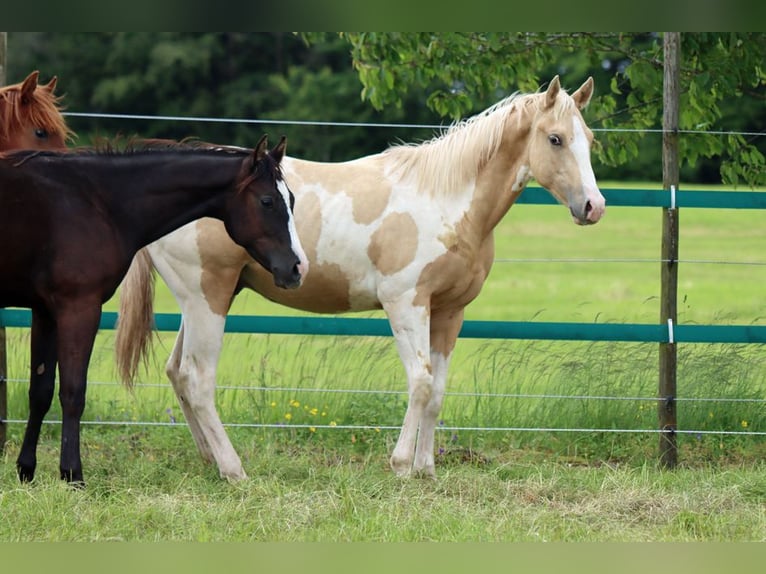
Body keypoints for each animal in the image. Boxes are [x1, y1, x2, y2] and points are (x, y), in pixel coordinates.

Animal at [3, 137, 308, 484]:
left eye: (291, 200)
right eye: (267, 201)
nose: (296, 268)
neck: (94, 202)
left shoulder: (44, 311)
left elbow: (40, 392)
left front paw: (26, 470)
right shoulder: (78, 308)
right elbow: (72, 392)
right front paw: (73, 475)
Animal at [117, 76, 608, 482]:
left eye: (589, 139)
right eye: (555, 138)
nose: (594, 206)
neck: (446, 201)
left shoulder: (450, 311)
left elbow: (438, 389)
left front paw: (427, 469)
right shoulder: (405, 303)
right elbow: (420, 381)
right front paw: (401, 466)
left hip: (202, 300)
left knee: (178, 373)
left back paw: (210, 461)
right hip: (208, 297)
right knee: (198, 379)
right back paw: (233, 469)